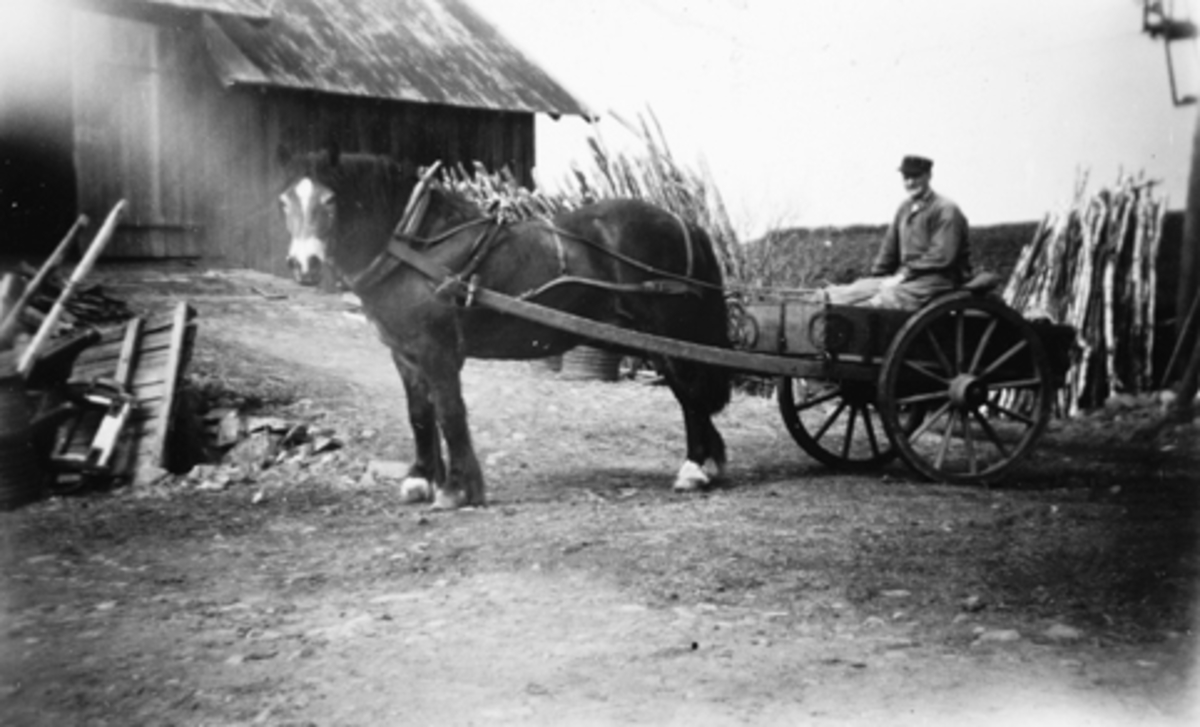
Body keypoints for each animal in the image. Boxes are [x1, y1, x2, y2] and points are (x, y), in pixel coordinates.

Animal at [280, 146, 729, 513]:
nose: (304, 265)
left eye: (330, 201)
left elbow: (450, 412)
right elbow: (420, 414)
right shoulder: (404, 352)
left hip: (666, 336)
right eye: (285, 201)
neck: (418, 246)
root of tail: (683, 222)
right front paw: (421, 480)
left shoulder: (437, 351)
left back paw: (695, 469)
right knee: (691, 395)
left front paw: (457, 490)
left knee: (689, 396)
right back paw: (710, 463)